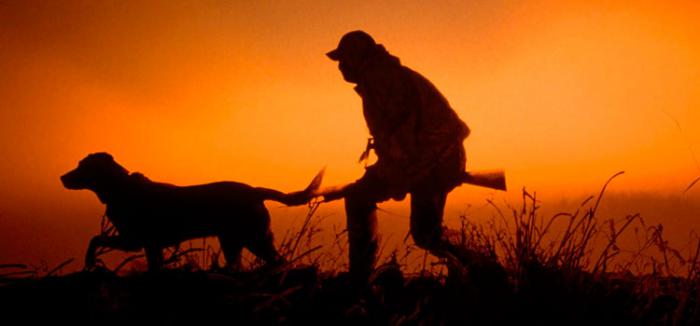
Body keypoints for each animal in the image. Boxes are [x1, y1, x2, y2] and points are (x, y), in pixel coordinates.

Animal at [60, 152, 322, 270]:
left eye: (82, 166)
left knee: (278, 262)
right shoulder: (148, 244)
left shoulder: (132, 240)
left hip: (253, 238)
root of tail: (255, 191)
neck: (121, 188)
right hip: (235, 241)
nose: (62, 177)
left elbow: (94, 239)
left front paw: (89, 261)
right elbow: (155, 265)